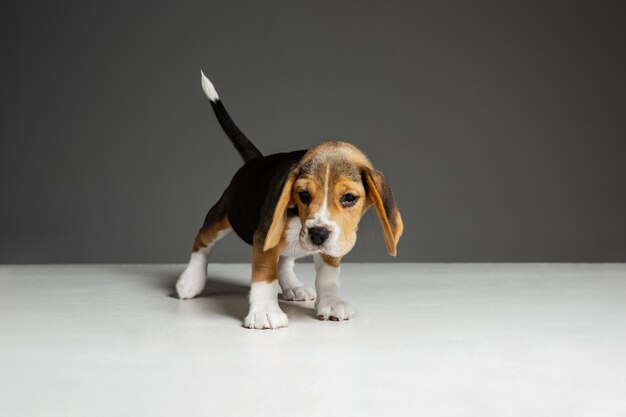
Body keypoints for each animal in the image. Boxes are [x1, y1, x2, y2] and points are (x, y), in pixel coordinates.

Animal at [173, 73, 402, 330]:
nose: (318, 234)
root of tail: (256, 161)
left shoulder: (335, 242)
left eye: (349, 198)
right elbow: (265, 274)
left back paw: (293, 286)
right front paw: (264, 311)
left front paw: (331, 301)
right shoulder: (264, 236)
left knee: (284, 261)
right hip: (225, 215)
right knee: (202, 240)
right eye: (303, 195)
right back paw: (190, 281)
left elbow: (328, 275)